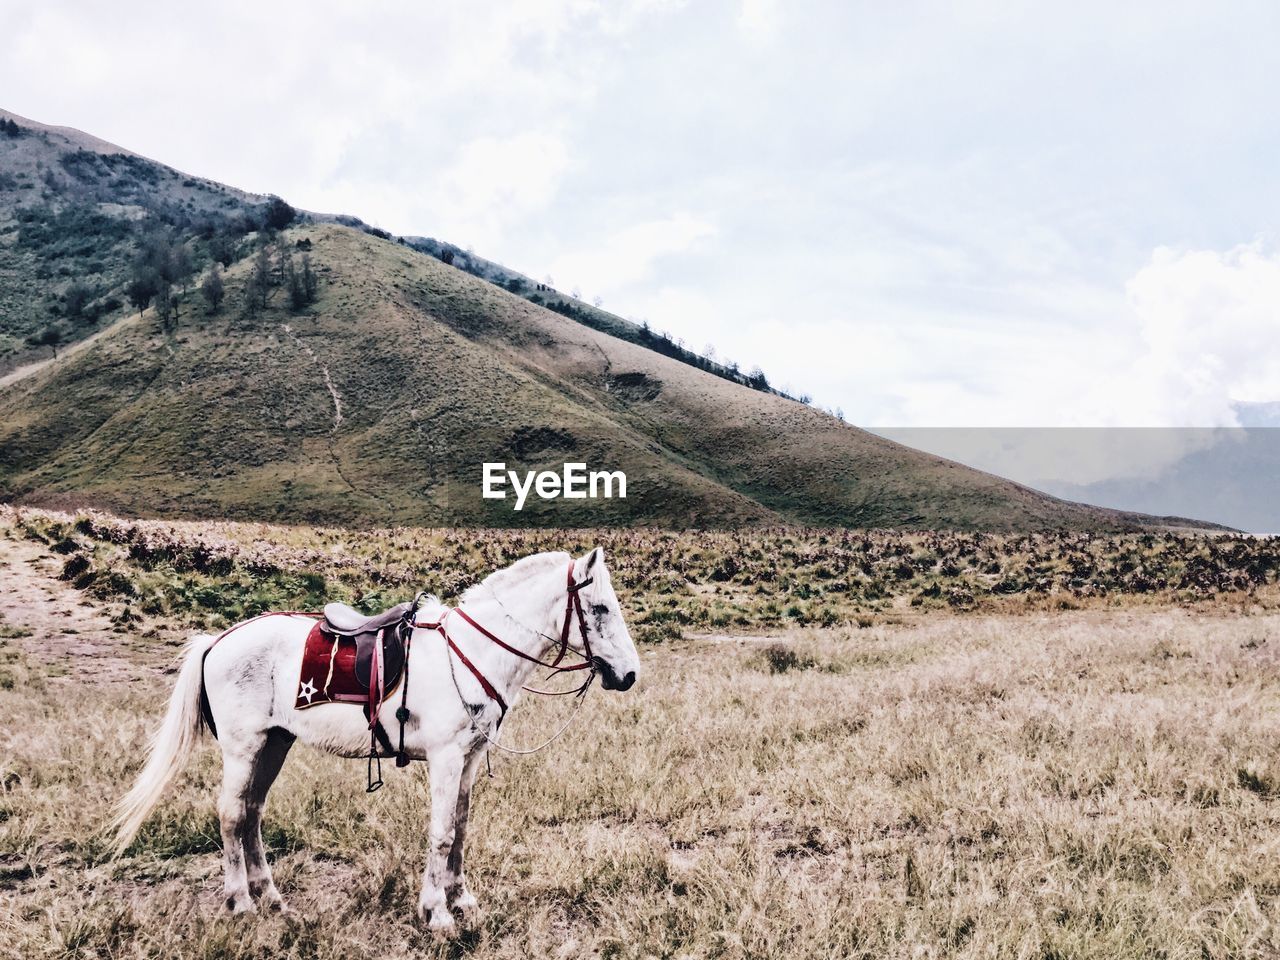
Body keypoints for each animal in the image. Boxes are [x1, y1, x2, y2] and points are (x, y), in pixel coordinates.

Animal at [111, 547, 640, 942]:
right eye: (599, 608)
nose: (630, 675)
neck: (473, 650)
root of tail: (219, 640)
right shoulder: (446, 758)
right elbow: (441, 832)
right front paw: (437, 913)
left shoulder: (469, 759)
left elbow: (461, 829)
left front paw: (462, 899)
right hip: (243, 749)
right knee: (230, 815)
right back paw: (241, 901)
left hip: (275, 743)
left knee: (253, 813)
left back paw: (273, 898)